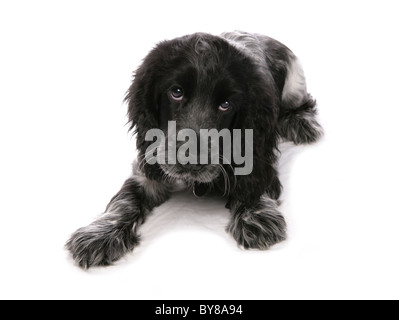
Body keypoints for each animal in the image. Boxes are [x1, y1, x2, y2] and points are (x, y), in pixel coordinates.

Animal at [65, 31, 322, 268]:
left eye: (225, 104)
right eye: (176, 93)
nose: (191, 159)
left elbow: (253, 181)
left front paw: (255, 216)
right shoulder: (147, 169)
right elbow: (125, 198)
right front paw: (99, 234)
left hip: (294, 86)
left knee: (305, 101)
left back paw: (302, 122)